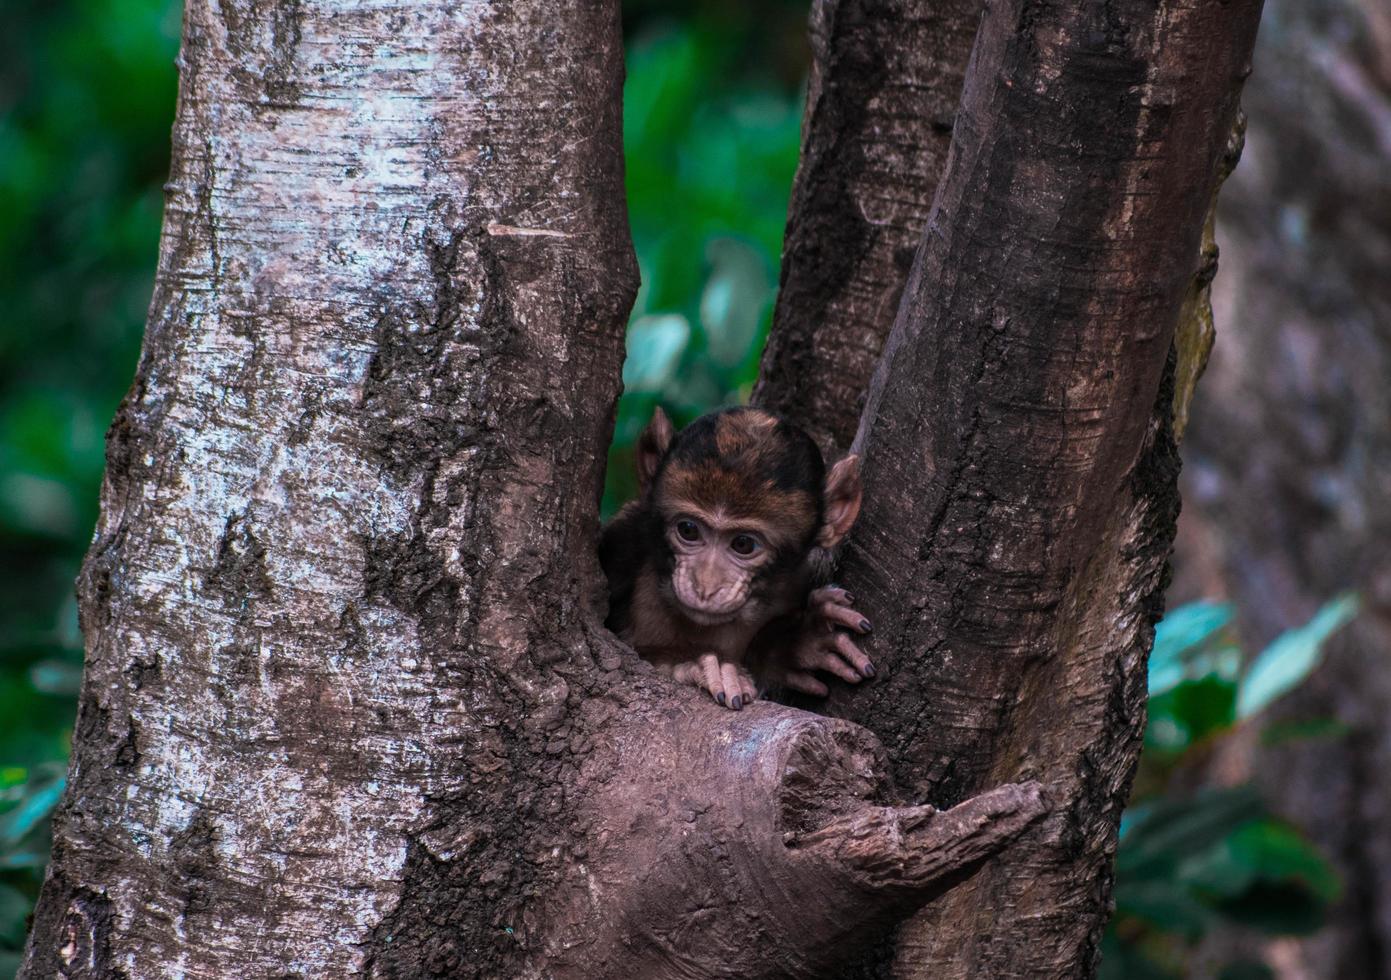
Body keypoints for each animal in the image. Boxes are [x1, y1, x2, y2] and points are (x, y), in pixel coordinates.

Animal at [603, 405, 873, 711]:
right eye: (688, 530)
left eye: (743, 544)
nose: (705, 586)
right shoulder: (625, 538)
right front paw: (690, 666)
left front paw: (794, 642)